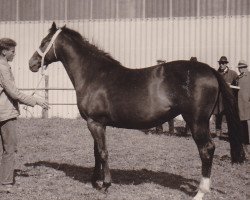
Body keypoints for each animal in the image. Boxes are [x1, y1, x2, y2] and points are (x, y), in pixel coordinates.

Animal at [28, 22, 245, 199]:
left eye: (45, 41)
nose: (32, 63)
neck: (94, 75)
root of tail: (210, 70)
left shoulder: (95, 123)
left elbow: (103, 152)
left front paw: (106, 185)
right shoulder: (97, 124)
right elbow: (96, 152)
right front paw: (95, 181)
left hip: (197, 121)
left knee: (207, 150)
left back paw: (200, 192)